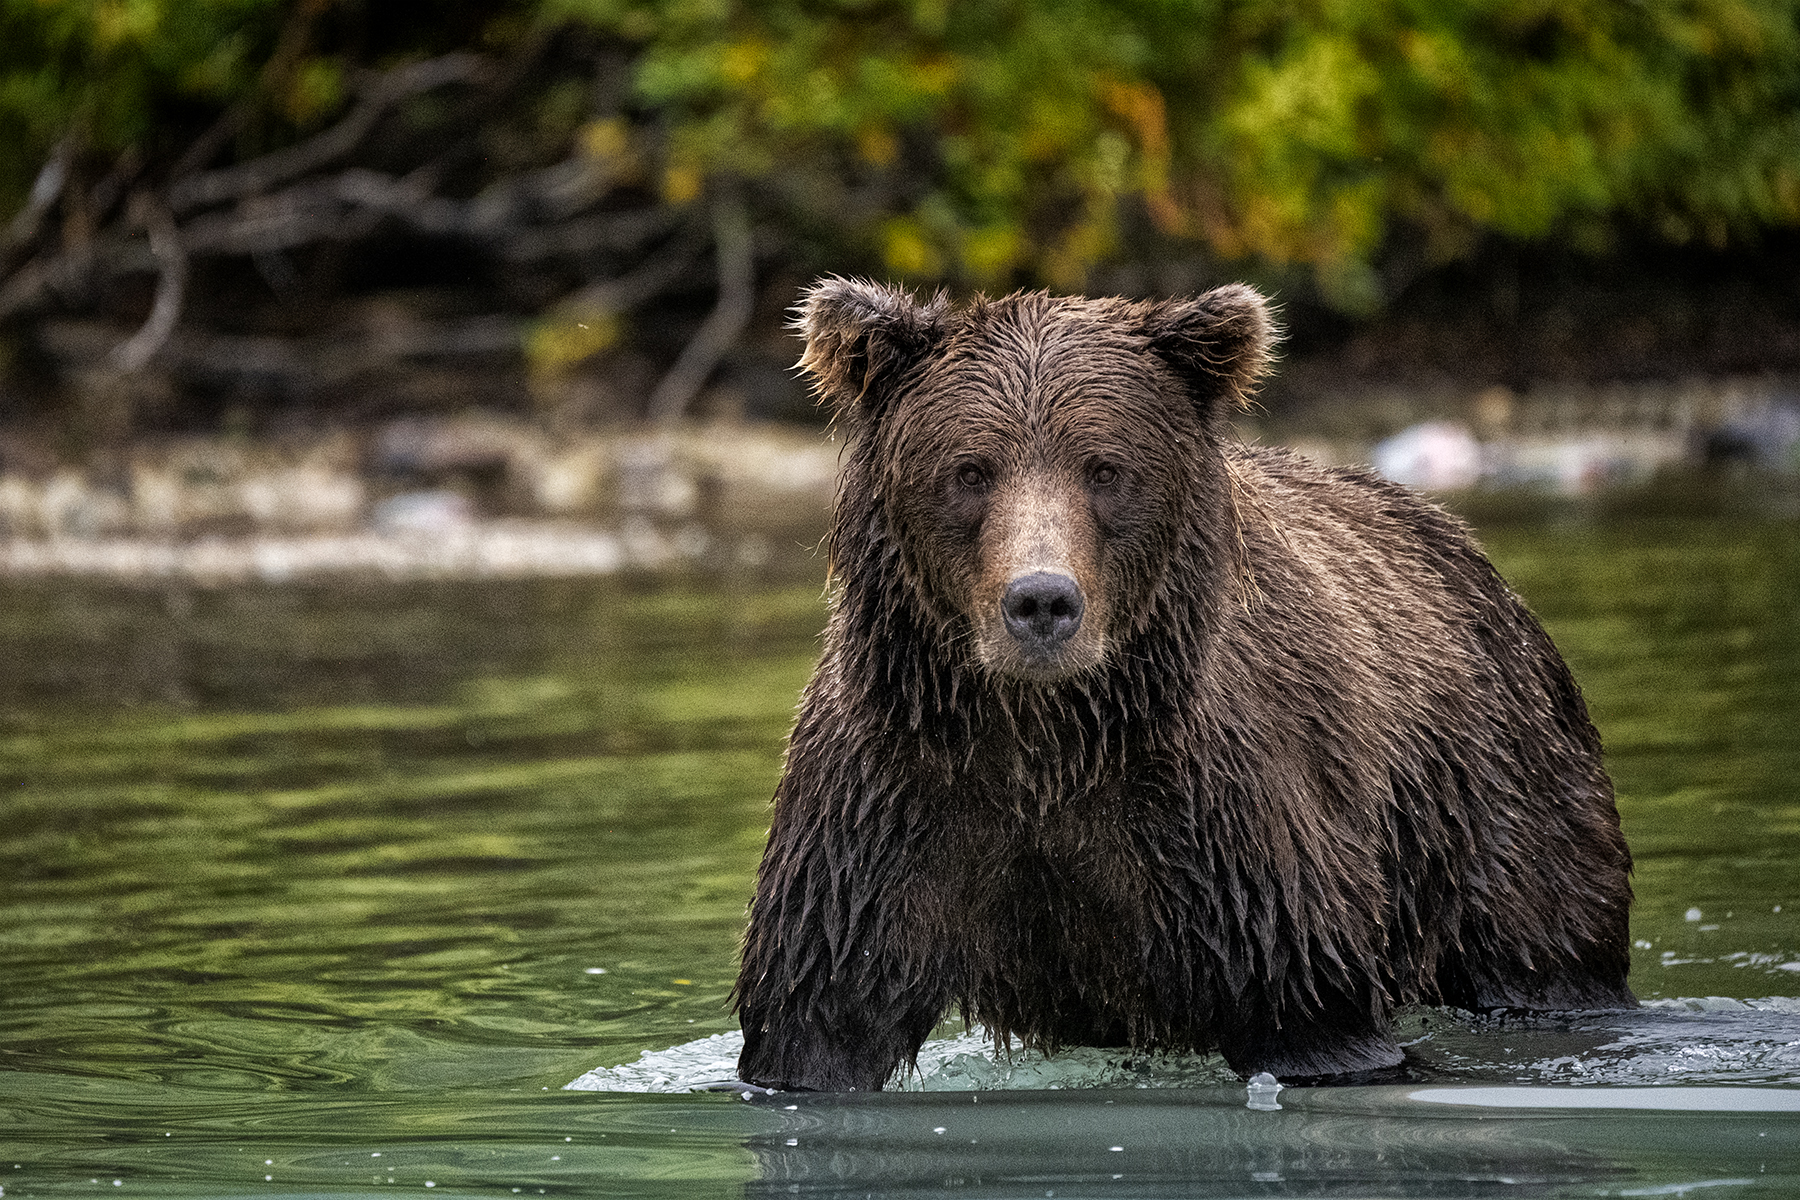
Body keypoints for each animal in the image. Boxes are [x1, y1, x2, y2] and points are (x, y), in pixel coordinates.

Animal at [730, 277, 1634, 1093]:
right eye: (970, 471)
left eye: (1104, 469)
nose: (1041, 601)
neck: (1046, 740)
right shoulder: (891, 803)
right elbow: (819, 1018)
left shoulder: (1222, 822)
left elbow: (1311, 1008)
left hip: (1499, 806)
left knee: (1542, 946)